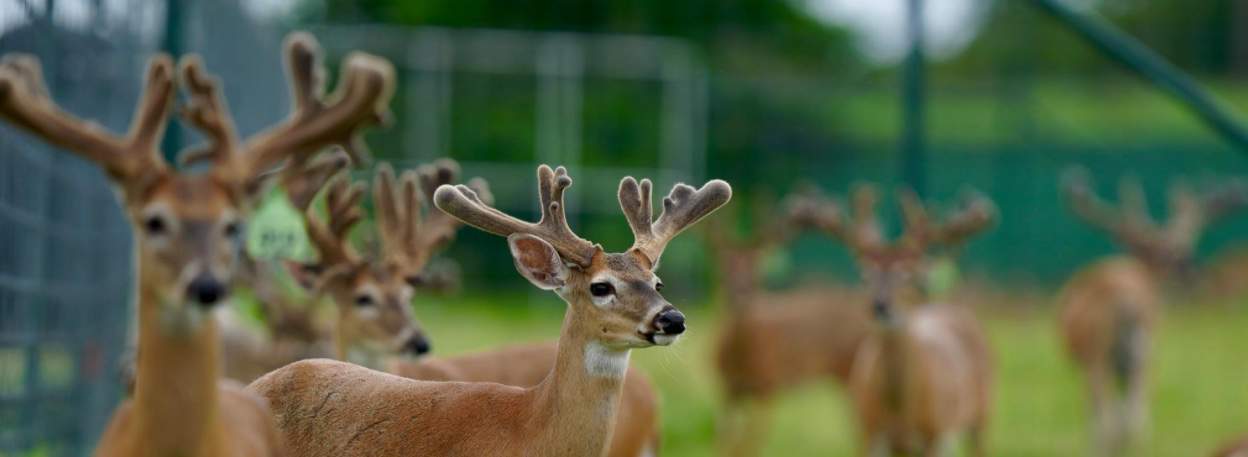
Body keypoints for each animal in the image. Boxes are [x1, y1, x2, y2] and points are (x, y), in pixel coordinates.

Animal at [709, 190, 871, 457]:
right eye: (723, 271)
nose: (740, 293)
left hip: (850, 371)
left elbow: (748, 443)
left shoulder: (769, 387)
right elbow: (726, 441)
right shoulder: (726, 388)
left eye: (757, 272)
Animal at [790, 184, 996, 457]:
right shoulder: (867, 434)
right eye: (865, 276)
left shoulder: (933, 435)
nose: (879, 306)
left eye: (907, 275)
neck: (900, 413)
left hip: (982, 412)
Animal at [1058, 167, 1248, 456]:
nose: (1192, 272)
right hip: (1140, 355)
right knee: (1134, 421)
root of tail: (1127, 301)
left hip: (1102, 356)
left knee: (1116, 420)